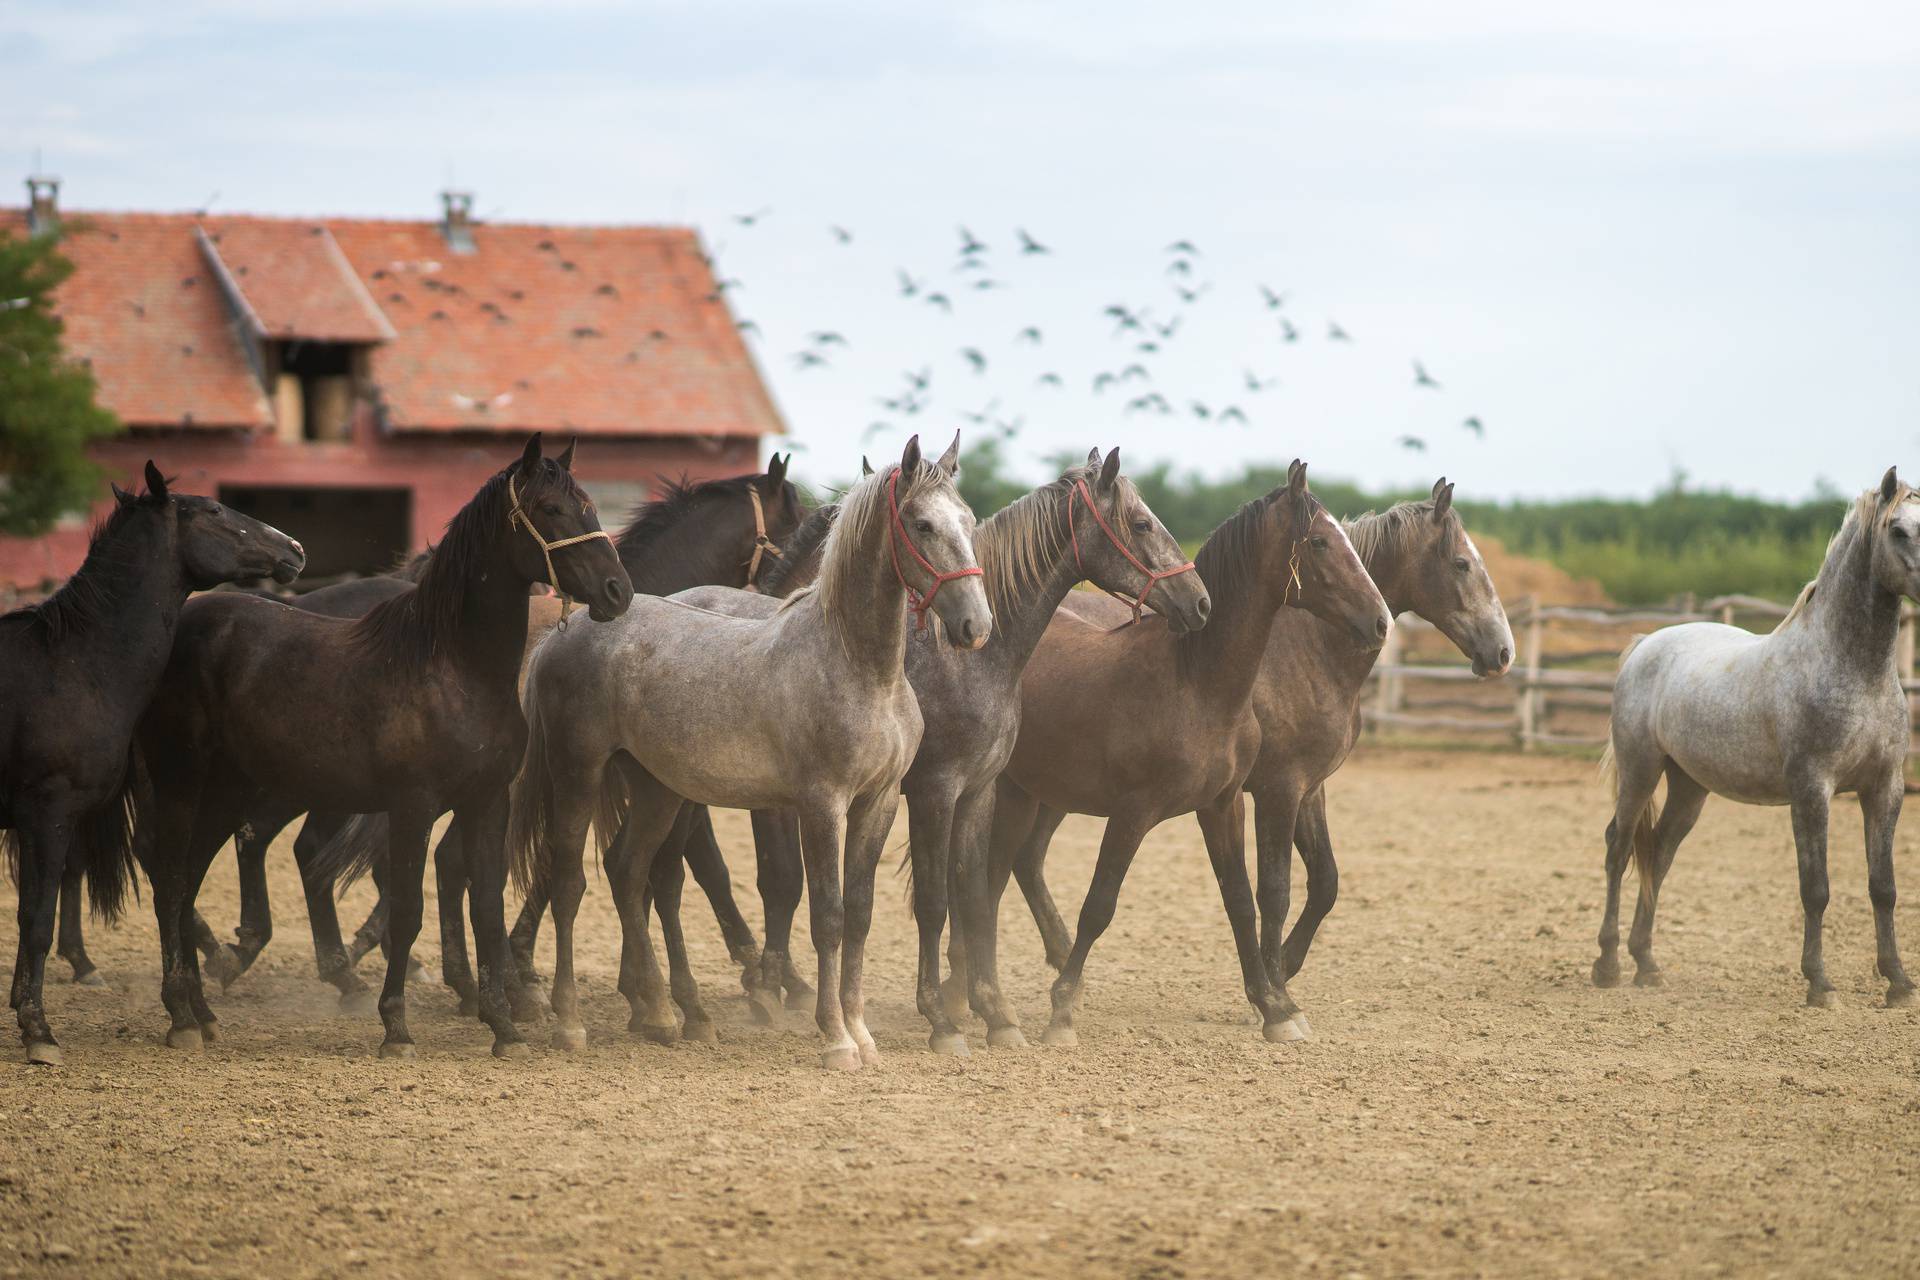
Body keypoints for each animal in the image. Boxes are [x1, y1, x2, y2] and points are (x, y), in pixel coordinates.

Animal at [1, 466, 301, 1066]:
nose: (295, 550)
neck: (70, 664)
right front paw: (38, 1031)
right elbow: (37, 921)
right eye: (214, 511)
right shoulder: (47, 811)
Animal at [131, 435, 625, 1059]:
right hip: (183, 784)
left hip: (228, 793)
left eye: (589, 505)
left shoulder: (487, 802)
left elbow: (486, 909)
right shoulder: (411, 807)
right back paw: (181, 1014)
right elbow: (408, 913)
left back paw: (202, 1011)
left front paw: (504, 1027)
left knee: (189, 878)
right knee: (171, 881)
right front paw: (396, 1027)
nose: (618, 591)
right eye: (552, 508)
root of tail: (183, 625)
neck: (452, 668)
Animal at [510, 435, 990, 1066]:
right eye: (923, 524)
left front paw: (862, 1035)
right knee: (569, 882)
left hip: (656, 788)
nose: (975, 626)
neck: (860, 667)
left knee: (629, 872)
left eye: (969, 520)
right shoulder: (821, 806)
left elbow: (859, 916)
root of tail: (560, 633)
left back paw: (665, 1015)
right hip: (578, 772)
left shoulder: (879, 802)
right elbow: (828, 916)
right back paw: (570, 1023)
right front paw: (836, 1039)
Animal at [1597, 470, 1920, 1013]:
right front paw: (1820, 985)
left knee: (1658, 854)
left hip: (1689, 787)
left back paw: (1648, 965)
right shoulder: (1812, 790)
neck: (1853, 671)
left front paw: (1897, 982)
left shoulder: (1885, 788)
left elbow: (1884, 887)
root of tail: (1645, 645)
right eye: (1898, 530)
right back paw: (1607, 966)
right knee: (1619, 849)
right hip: (1641, 770)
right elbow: (1816, 888)